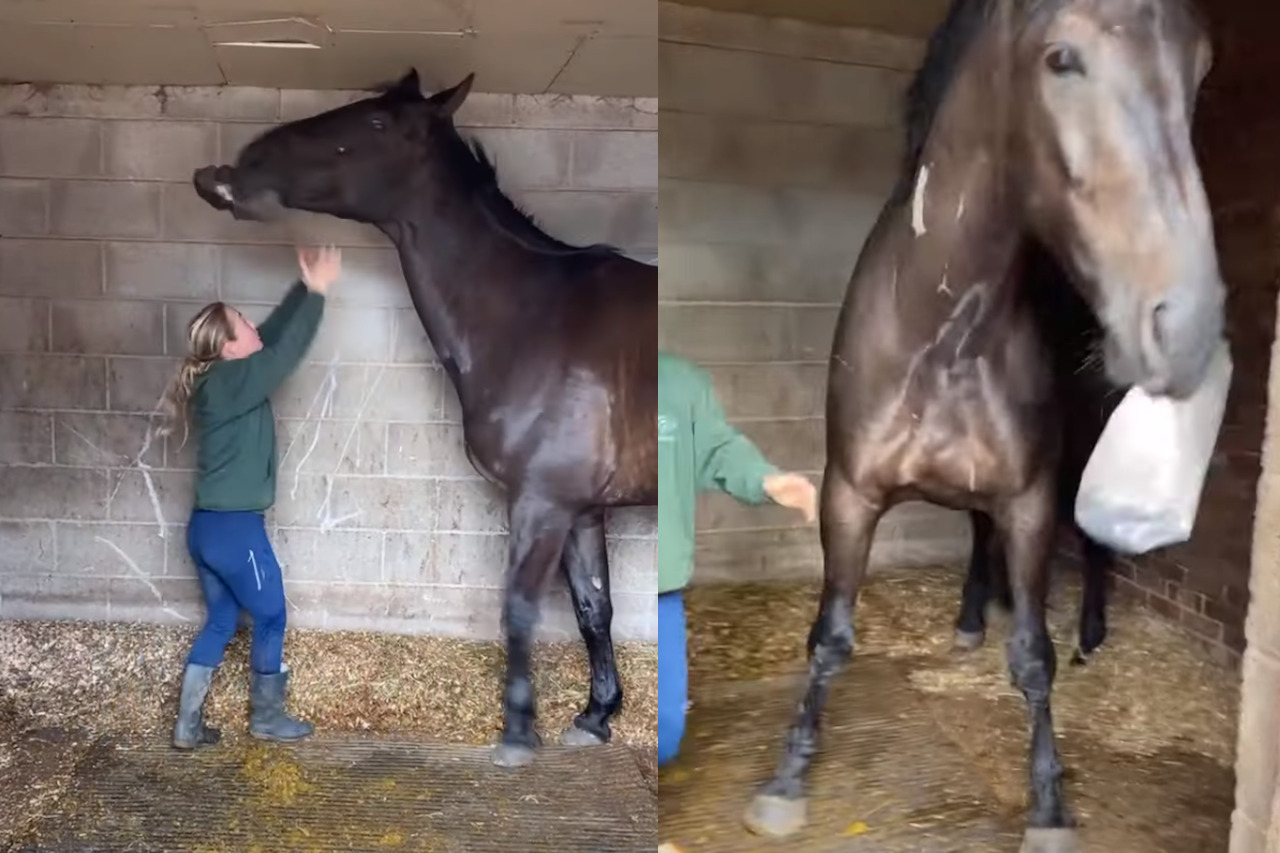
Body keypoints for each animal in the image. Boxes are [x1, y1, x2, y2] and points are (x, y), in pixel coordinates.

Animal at [189, 69, 660, 768]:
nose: (237, 168)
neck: (535, 317)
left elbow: (518, 610)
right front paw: (596, 715)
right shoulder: (581, 509)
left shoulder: (541, 502)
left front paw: (517, 734)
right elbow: (592, 609)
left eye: (377, 123)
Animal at [747, 3, 1223, 845]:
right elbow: (830, 634)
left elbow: (1033, 656)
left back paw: (1090, 632)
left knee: (1091, 543)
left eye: (1200, 67)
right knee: (978, 531)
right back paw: (975, 611)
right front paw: (787, 776)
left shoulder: (1029, 497)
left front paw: (1049, 805)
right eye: (1060, 59)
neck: (945, 325)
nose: (1188, 326)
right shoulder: (849, 492)